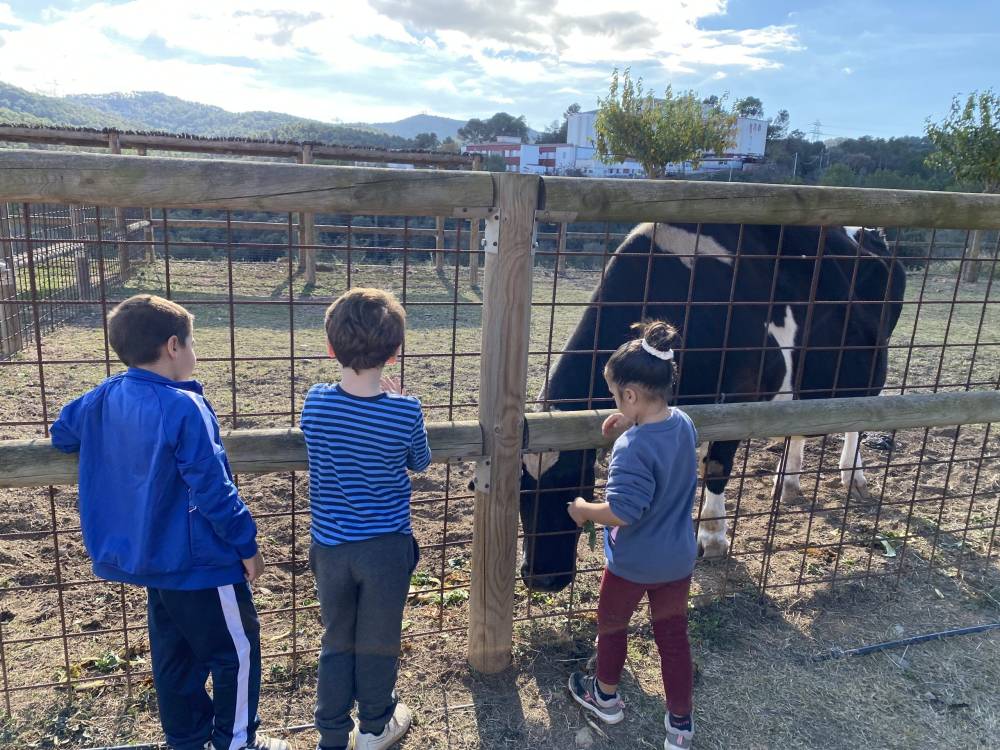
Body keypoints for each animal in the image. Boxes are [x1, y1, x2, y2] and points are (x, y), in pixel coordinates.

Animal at [524, 223, 908, 592]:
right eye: (519, 489)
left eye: (573, 482)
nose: (540, 579)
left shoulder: (741, 398)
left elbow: (716, 467)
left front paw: (712, 538)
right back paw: (788, 482)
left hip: (869, 366)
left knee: (856, 417)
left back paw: (852, 476)